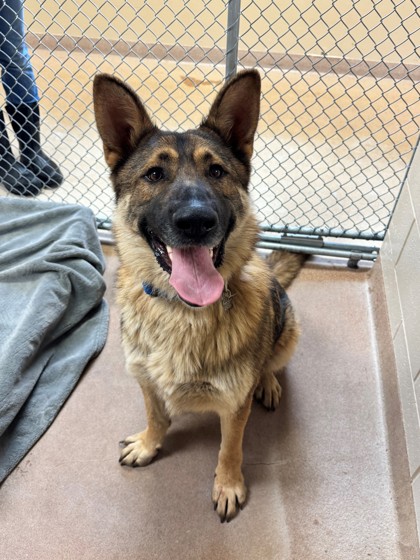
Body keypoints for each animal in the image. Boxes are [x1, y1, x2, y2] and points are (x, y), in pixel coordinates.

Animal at [93, 69, 305, 522]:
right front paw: (150, 444)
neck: (181, 312)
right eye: (154, 174)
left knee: (271, 363)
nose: (196, 222)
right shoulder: (146, 381)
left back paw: (267, 382)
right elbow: (156, 416)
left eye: (217, 171)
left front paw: (228, 484)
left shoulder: (233, 405)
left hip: (289, 330)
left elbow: (230, 448)